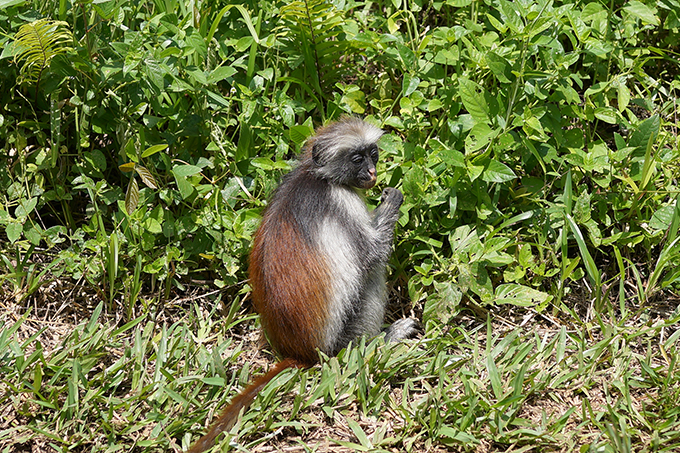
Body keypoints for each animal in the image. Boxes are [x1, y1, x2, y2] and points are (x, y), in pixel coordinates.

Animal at [187, 117, 418, 453]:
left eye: (372, 154)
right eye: (357, 159)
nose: (372, 172)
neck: (317, 175)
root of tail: (301, 352)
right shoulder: (342, 200)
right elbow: (373, 255)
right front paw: (393, 199)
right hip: (339, 340)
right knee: (371, 275)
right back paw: (383, 340)